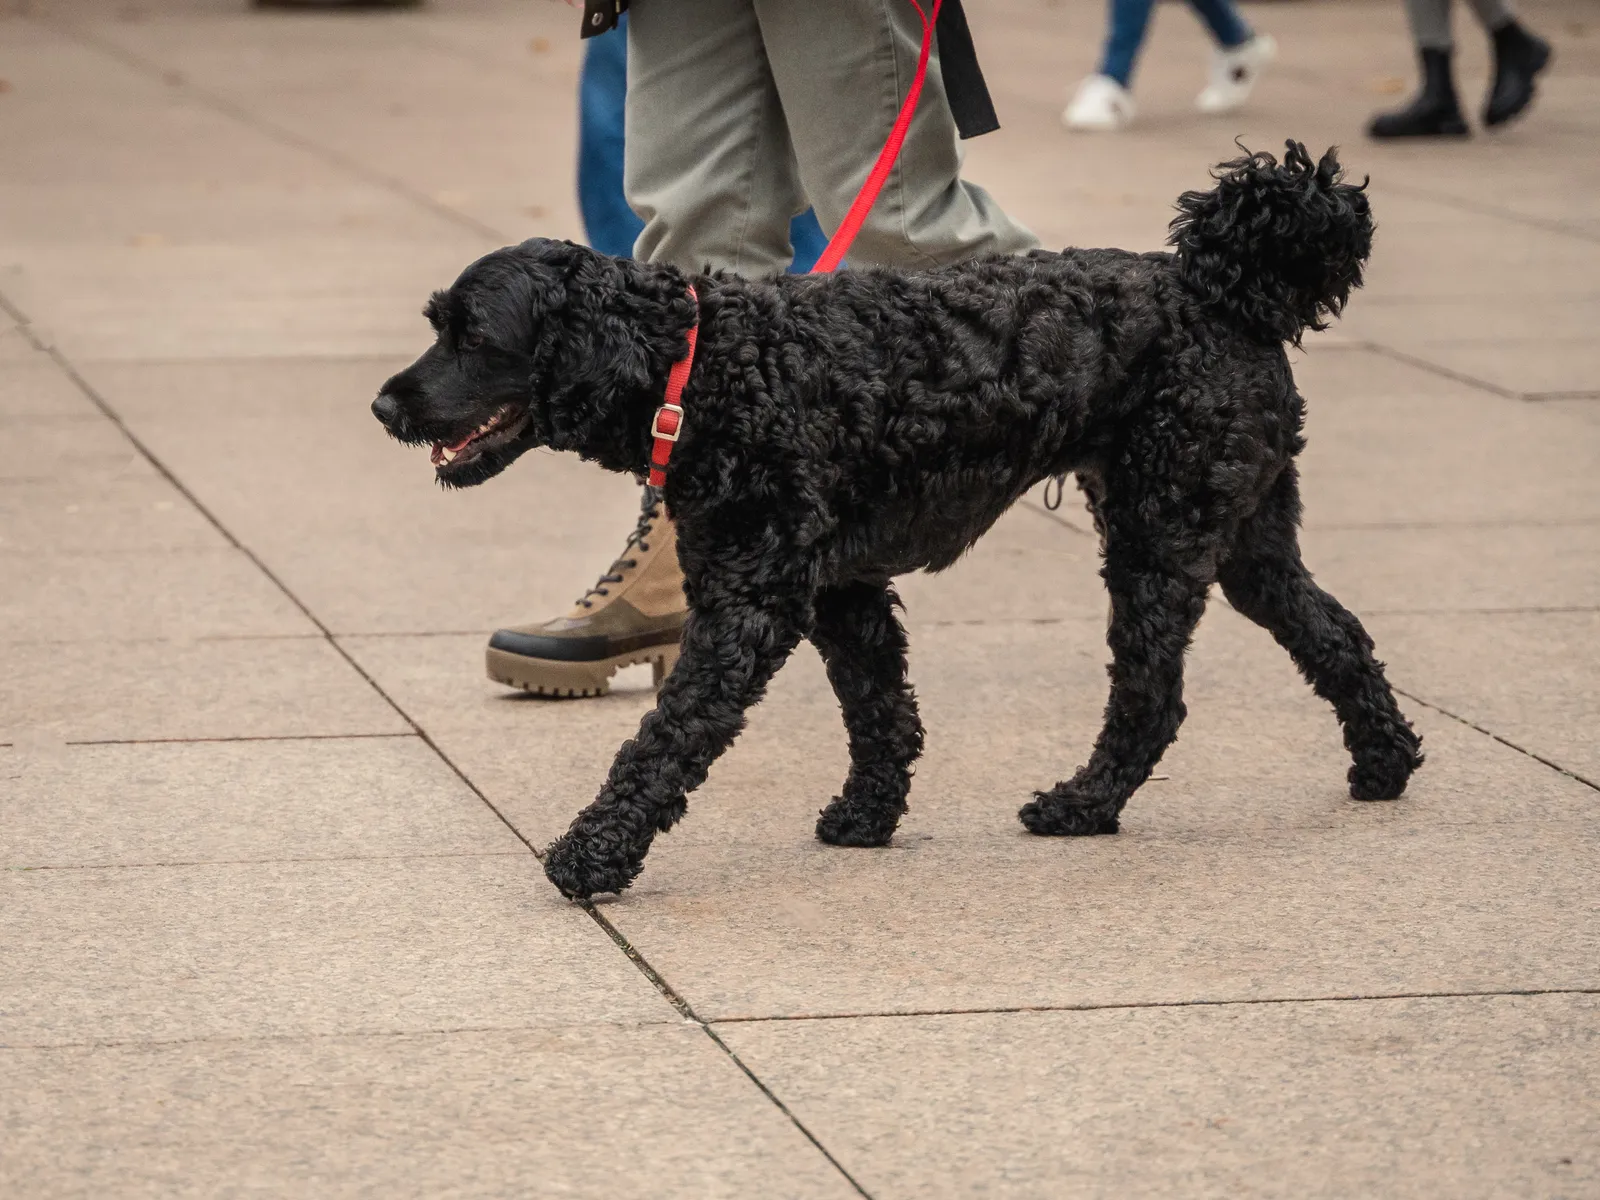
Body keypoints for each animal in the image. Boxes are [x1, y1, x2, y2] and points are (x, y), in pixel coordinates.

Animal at [374, 143, 1427, 902]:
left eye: (471, 335)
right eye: (436, 324)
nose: (384, 405)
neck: (706, 367)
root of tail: (1224, 291)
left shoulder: (752, 605)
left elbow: (667, 739)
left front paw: (593, 854)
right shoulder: (843, 591)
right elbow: (881, 713)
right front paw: (868, 817)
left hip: (1158, 537)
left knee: (1152, 699)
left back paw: (1083, 805)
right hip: (1248, 537)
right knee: (1335, 634)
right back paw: (1384, 763)